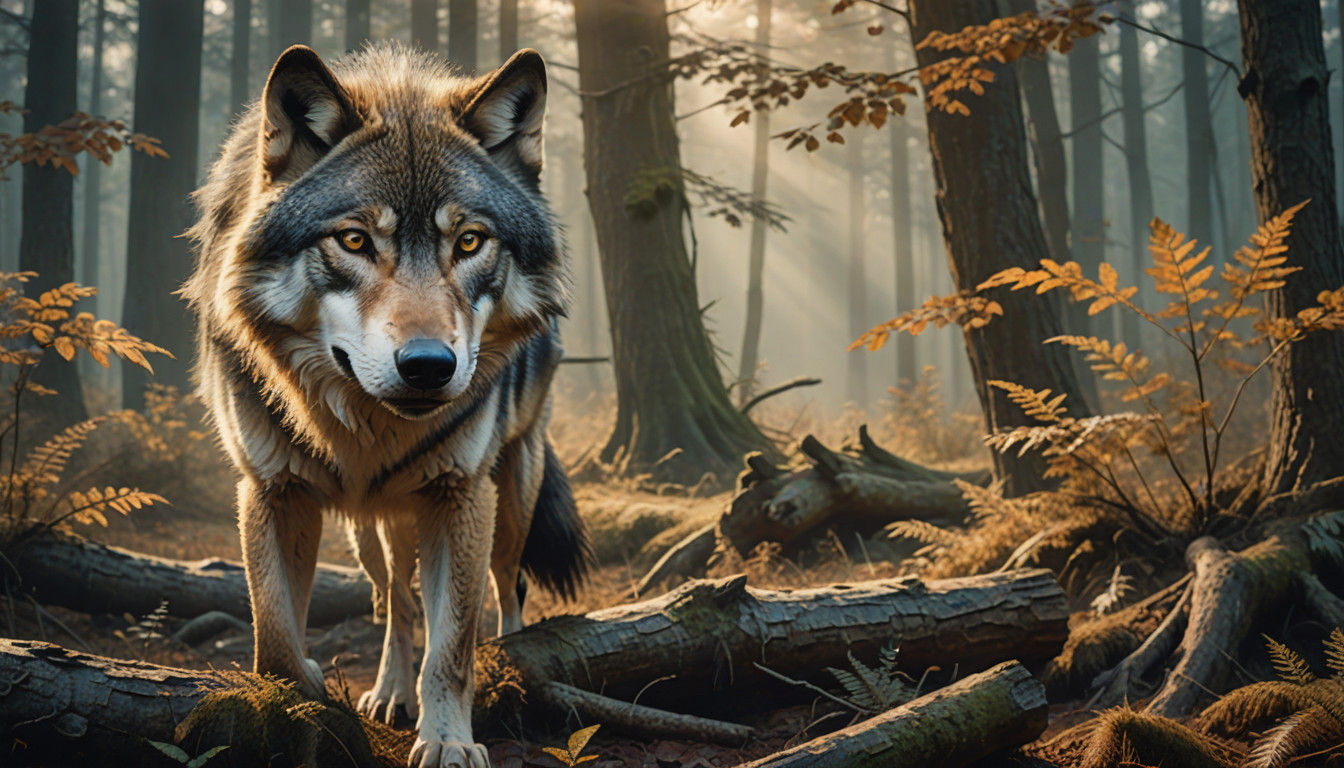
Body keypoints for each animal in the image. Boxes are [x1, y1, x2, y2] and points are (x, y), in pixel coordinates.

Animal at [184, 42, 589, 768]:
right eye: (354, 241)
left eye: (469, 241)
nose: (429, 366)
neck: (366, 431)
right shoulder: (271, 490)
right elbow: (276, 633)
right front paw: (291, 703)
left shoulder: (462, 494)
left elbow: (451, 646)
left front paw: (450, 741)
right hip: (369, 529)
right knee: (396, 599)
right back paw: (391, 694)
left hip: (513, 489)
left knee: (506, 585)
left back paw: (508, 656)